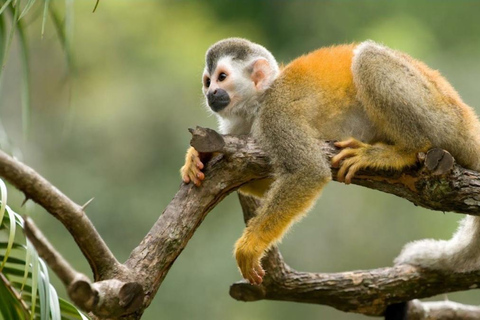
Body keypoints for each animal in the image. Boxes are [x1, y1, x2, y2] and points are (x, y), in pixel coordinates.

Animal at [181, 38, 480, 284]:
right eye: (208, 81)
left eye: (222, 77)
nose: (210, 93)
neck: (258, 103)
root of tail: (468, 121)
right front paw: (198, 157)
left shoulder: (276, 115)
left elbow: (308, 171)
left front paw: (250, 245)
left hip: (441, 116)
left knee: (369, 58)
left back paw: (404, 150)